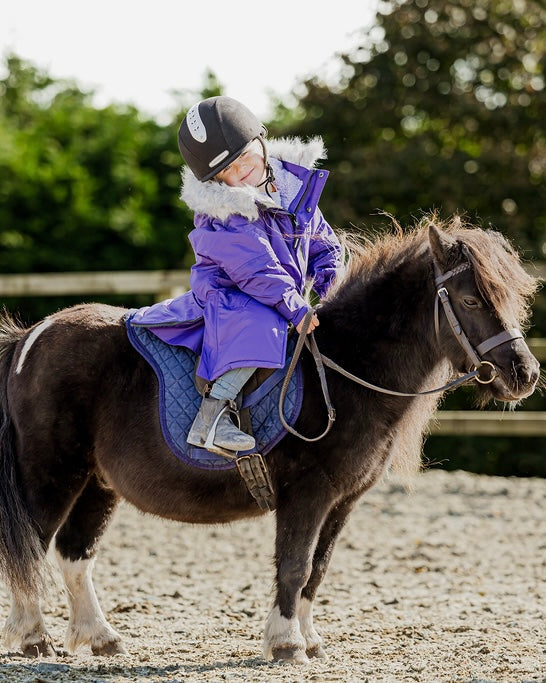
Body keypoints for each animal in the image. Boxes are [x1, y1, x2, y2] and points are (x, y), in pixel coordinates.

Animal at [0, 218, 540, 664]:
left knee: (74, 554)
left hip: (97, 482)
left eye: (510, 298)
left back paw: (101, 637)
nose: (525, 373)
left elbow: (318, 569)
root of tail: (33, 336)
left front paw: (310, 639)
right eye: (471, 300)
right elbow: (295, 566)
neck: (345, 368)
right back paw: (33, 637)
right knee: (30, 547)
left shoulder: (342, 502)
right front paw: (286, 644)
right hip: (52, 475)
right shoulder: (308, 494)